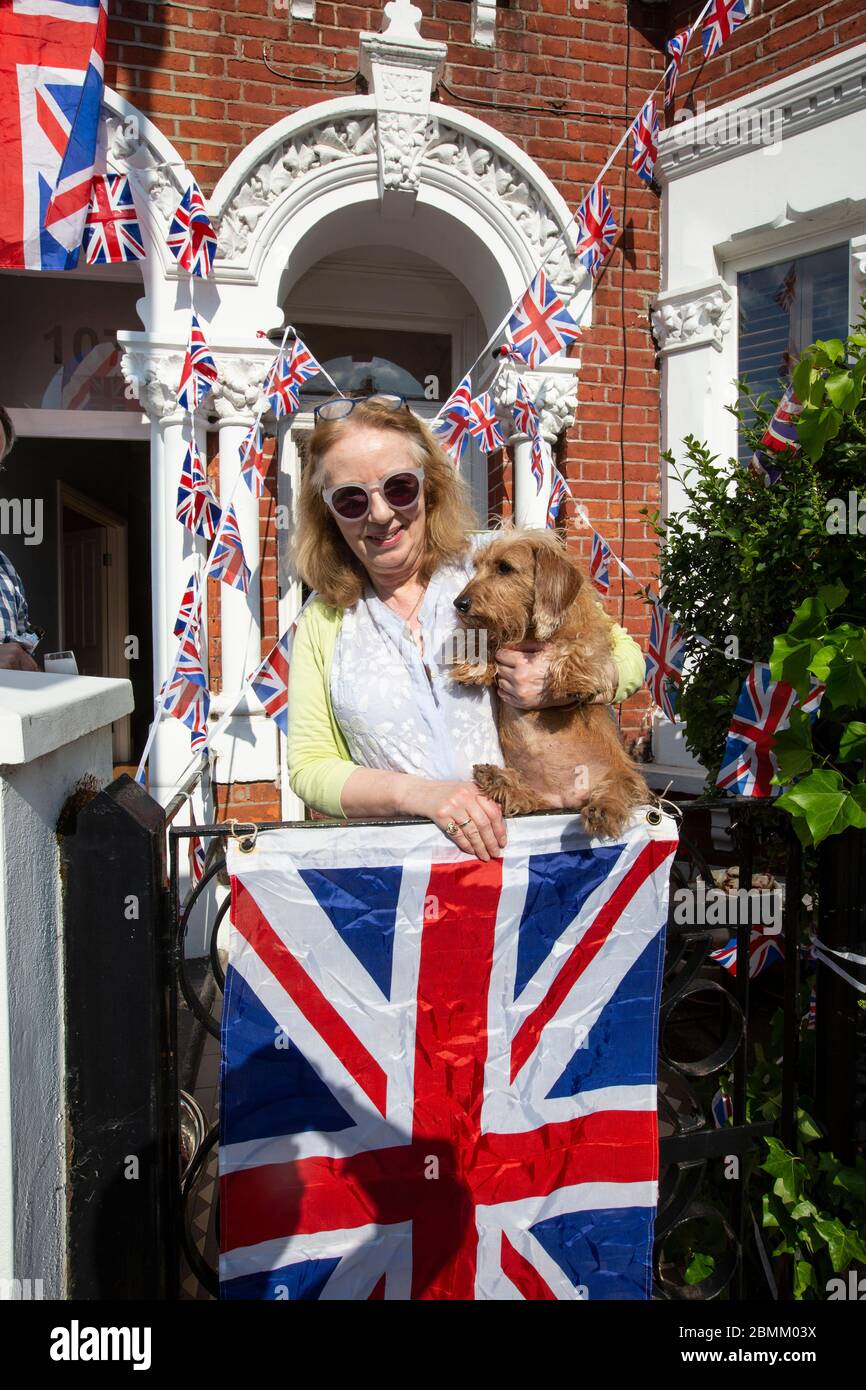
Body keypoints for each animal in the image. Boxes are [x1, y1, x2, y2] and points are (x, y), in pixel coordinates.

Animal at [450, 530, 647, 834]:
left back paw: (603, 810)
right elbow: (490, 636)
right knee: (524, 798)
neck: (530, 631)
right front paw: (475, 663)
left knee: (617, 792)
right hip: (533, 791)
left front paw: (573, 681)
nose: (460, 603)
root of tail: (566, 797)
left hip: (623, 775)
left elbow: (583, 643)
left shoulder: (591, 630)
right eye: (477, 566)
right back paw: (497, 779)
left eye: (504, 567)